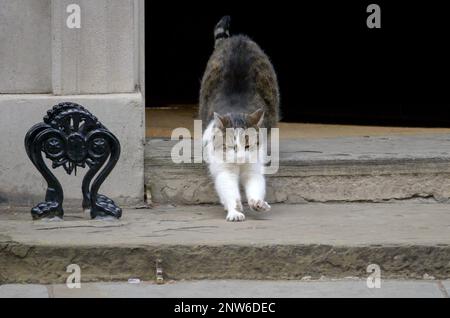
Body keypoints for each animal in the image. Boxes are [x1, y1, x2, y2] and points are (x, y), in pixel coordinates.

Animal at [200, 16, 280, 222]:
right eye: (232, 147)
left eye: (248, 145)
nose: (242, 157)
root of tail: (237, 38)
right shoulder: (224, 171)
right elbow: (230, 192)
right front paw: (235, 211)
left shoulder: (253, 168)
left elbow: (255, 185)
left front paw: (257, 203)